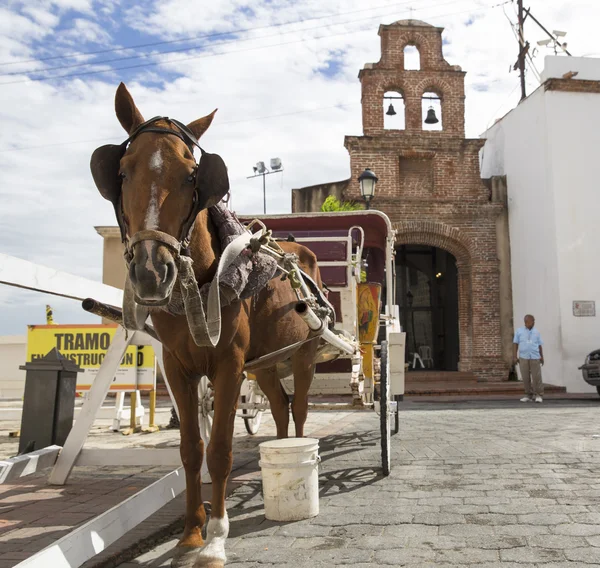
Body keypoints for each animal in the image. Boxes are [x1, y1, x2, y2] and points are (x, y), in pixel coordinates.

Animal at [91, 82, 324, 564]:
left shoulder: (229, 366)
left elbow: (218, 451)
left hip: (304, 354)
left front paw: (216, 537)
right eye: (120, 172)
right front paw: (190, 533)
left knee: (300, 409)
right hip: (266, 365)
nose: (151, 271)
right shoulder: (177, 368)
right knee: (279, 408)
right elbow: (190, 450)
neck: (195, 289)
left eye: (192, 175)